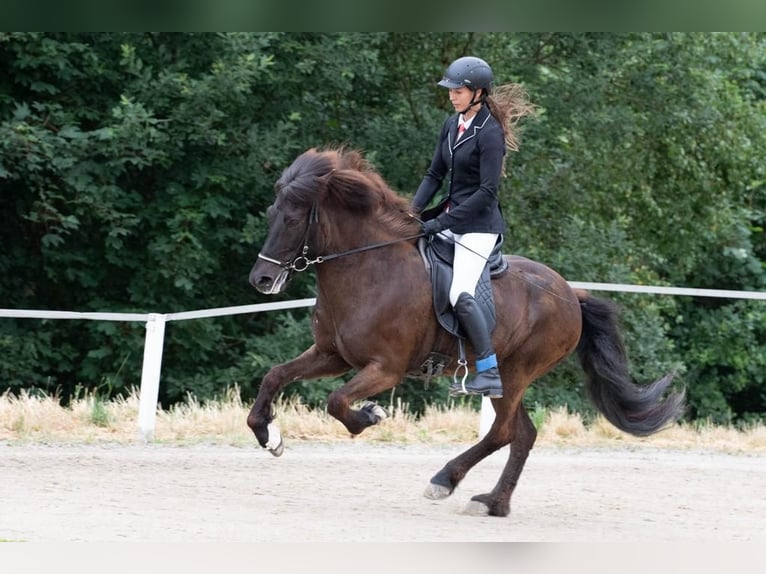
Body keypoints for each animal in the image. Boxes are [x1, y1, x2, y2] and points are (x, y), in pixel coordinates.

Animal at [247, 147, 685, 517]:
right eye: (270, 214)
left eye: (291, 220)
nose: (261, 280)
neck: (369, 268)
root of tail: (570, 294)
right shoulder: (331, 355)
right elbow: (275, 376)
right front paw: (269, 436)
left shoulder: (385, 368)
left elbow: (336, 401)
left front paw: (370, 415)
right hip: (506, 375)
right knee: (522, 434)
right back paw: (493, 503)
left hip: (517, 371)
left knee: (503, 432)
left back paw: (445, 480)